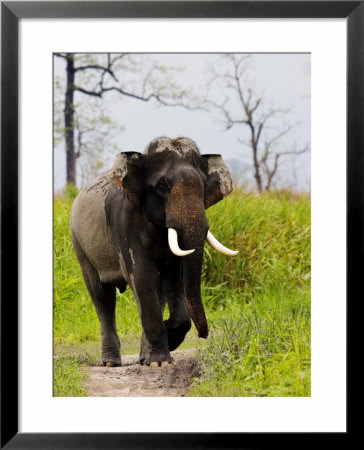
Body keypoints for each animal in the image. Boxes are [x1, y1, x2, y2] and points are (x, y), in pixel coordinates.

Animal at [69, 138, 237, 370]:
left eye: (204, 185)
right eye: (162, 186)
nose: (203, 336)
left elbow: (175, 277)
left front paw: (165, 341)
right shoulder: (124, 222)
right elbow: (142, 275)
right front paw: (160, 362)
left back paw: (143, 358)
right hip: (80, 244)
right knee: (102, 296)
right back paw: (110, 363)